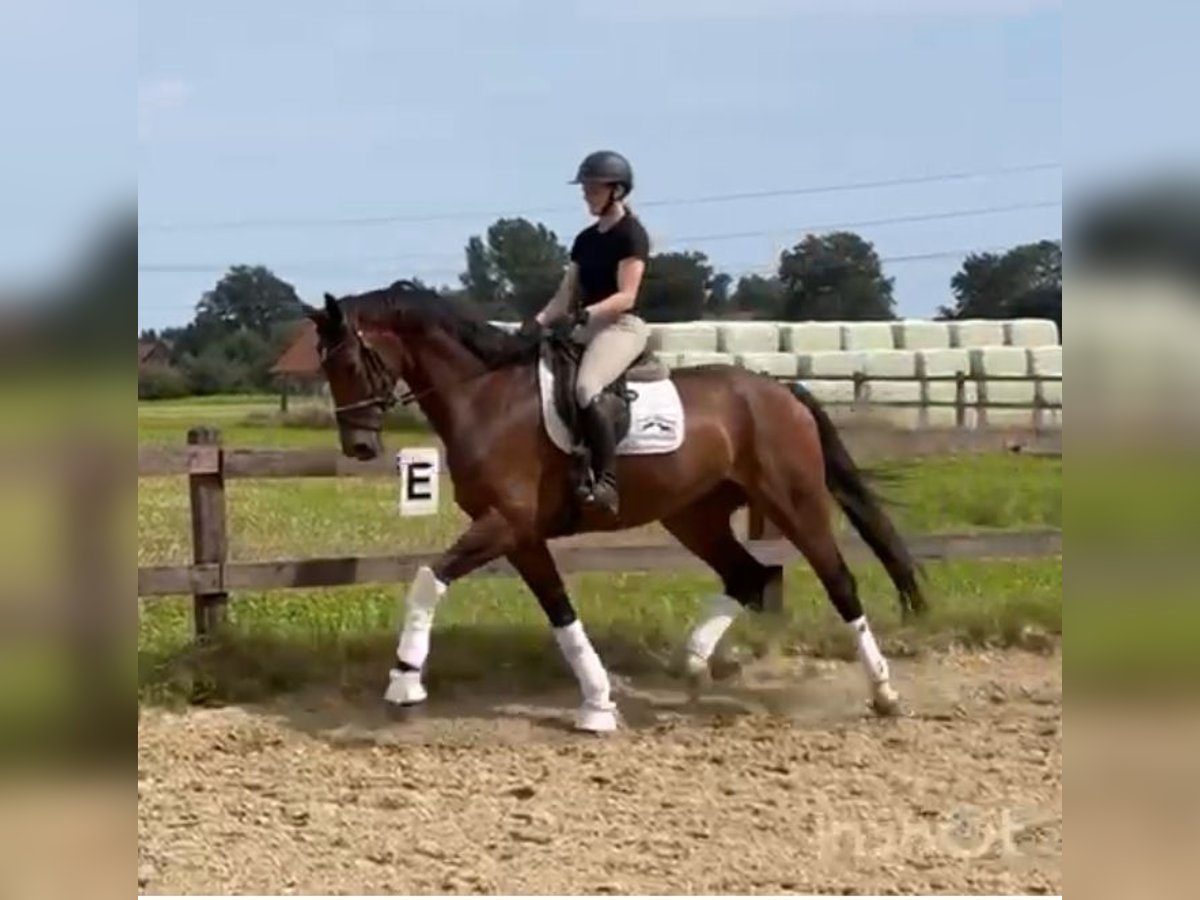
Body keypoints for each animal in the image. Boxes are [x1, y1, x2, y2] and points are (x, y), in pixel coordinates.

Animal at [304, 280, 921, 734]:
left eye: (351, 364)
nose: (359, 447)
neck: (487, 398)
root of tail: (778, 389)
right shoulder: (520, 535)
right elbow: (560, 612)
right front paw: (598, 704)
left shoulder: (504, 525)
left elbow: (427, 579)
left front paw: (404, 682)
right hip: (694, 515)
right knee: (750, 574)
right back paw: (691, 667)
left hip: (794, 502)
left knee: (838, 581)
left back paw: (885, 692)